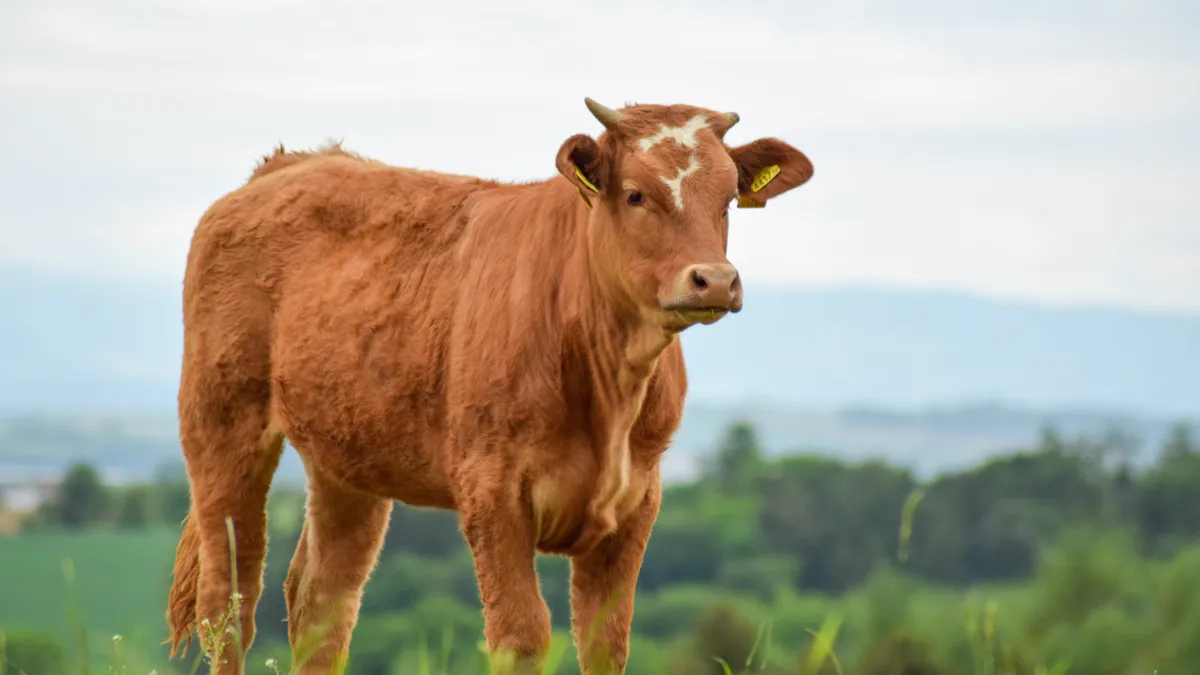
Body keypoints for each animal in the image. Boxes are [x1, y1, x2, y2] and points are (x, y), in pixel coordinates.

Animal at [164, 98, 813, 674]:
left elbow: (606, 642)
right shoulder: (491, 489)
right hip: (222, 425)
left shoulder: (638, 500)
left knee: (320, 603)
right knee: (228, 606)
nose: (715, 280)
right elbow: (521, 636)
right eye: (635, 194)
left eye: (728, 199)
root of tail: (292, 163)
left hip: (347, 460)